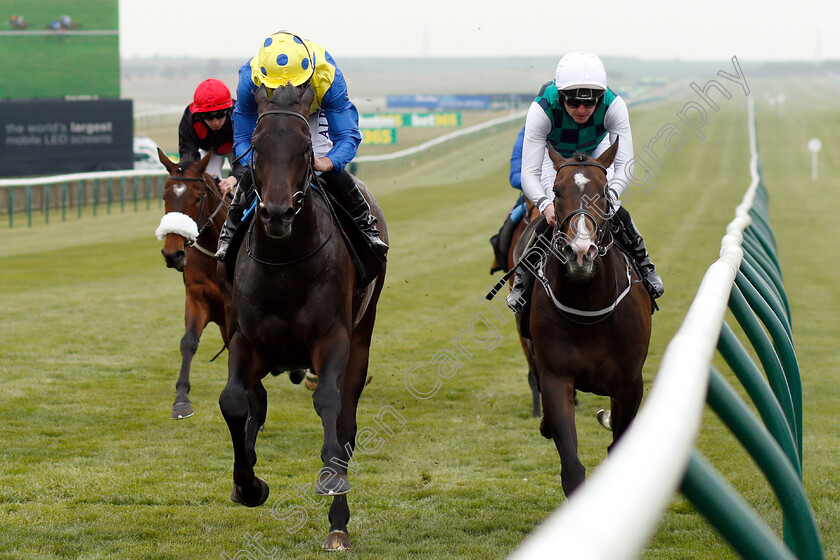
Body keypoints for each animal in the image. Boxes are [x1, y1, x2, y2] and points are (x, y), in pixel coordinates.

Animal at [156, 150, 230, 420]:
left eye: (198, 198)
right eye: (164, 196)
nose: (172, 254)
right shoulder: (197, 297)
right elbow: (188, 342)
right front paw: (181, 399)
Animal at [217, 84, 388, 552]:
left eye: (305, 150)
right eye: (257, 148)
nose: (276, 213)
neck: (284, 265)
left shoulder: (333, 339)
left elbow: (329, 403)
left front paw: (331, 482)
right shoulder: (245, 341)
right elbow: (234, 402)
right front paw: (248, 485)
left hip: (363, 335)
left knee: (345, 423)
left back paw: (338, 525)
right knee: (255, 404)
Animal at [516, 141, 652, 498]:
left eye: (603, 191)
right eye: (555, 191)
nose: (581, 251)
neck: (590, 306)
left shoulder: (630, 383)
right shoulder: (557, 377)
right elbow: (572, 468)